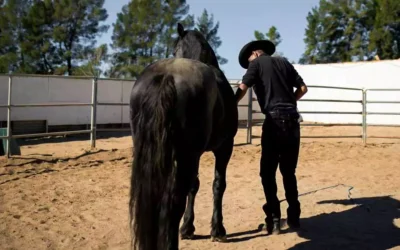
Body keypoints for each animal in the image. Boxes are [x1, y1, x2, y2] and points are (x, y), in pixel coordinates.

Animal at [130, 22, 238, 250]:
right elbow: (218, 185)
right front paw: (218, 230)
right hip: (187, 155)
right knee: (173, 201)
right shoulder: (224, 147)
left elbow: (194, 186)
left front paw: (188, 228)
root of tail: (167, 76)